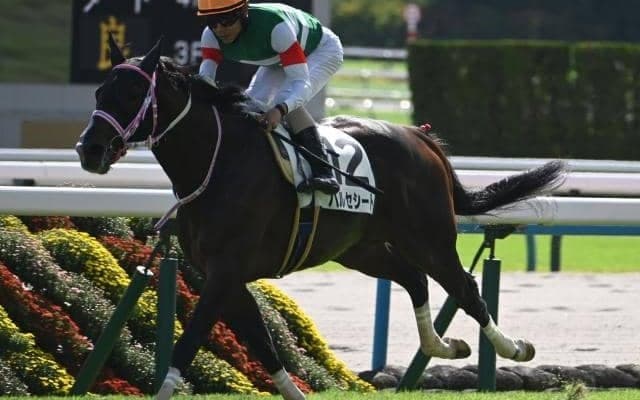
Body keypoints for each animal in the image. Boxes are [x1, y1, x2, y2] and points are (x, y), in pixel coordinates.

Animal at [76, 37, 565, 400]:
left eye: (133, 94)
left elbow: (190, 340)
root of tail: (418, 136)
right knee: (414, 279)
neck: (217, 162)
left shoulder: (226, 272)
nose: (90, 149)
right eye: (99, 92)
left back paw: (514, 348)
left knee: (465, 288)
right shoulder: (226, 276)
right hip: (361, 248)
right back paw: (444, 344)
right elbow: (263, 343)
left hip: (430, 238)